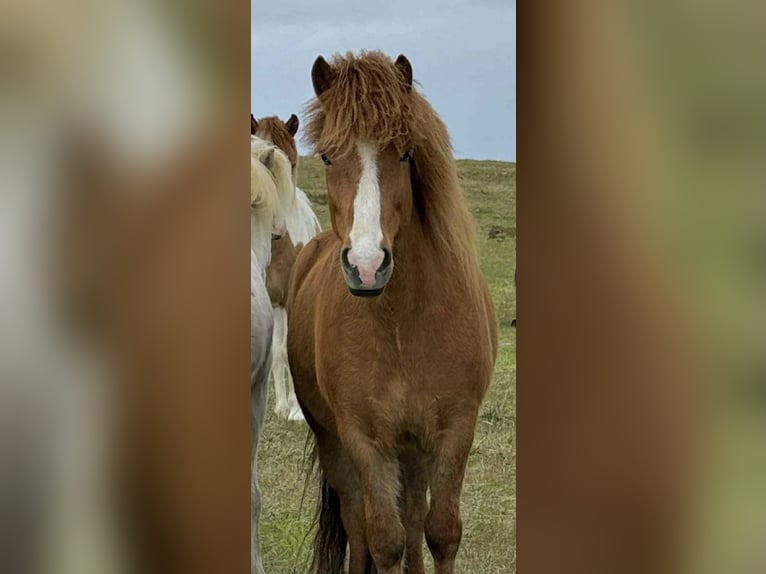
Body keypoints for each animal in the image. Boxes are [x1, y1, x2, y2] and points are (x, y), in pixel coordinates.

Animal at [287, 51, 498, 574]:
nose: (367, 265)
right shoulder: (364, 440)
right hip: (336, 444)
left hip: (415, 448)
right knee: (360, 523)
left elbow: (440, 532)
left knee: (415, 514)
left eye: (403, 153)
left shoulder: (454, 429)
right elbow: (384, 539)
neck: (403, 323)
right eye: (328, 156)